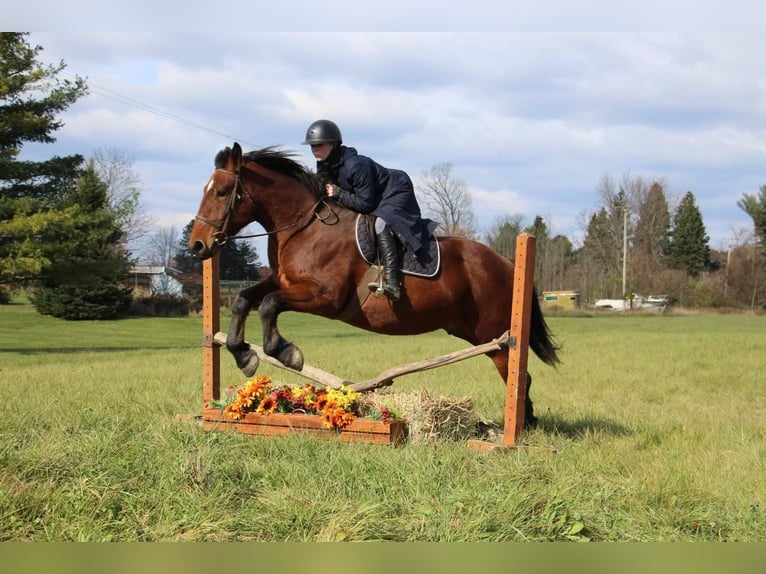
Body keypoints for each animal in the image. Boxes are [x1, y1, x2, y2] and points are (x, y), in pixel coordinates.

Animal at [186, 142, 560, 426]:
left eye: (221, 192)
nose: (197, 246)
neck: (303, 226)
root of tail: (508, 263)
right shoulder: (281, 281)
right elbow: (245, 299)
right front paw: (244, 354)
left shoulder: (326, 298)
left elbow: (269, 304)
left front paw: (285, 352)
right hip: (473, 332)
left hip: (495, 336)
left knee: (518, 376)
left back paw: (521, 427)